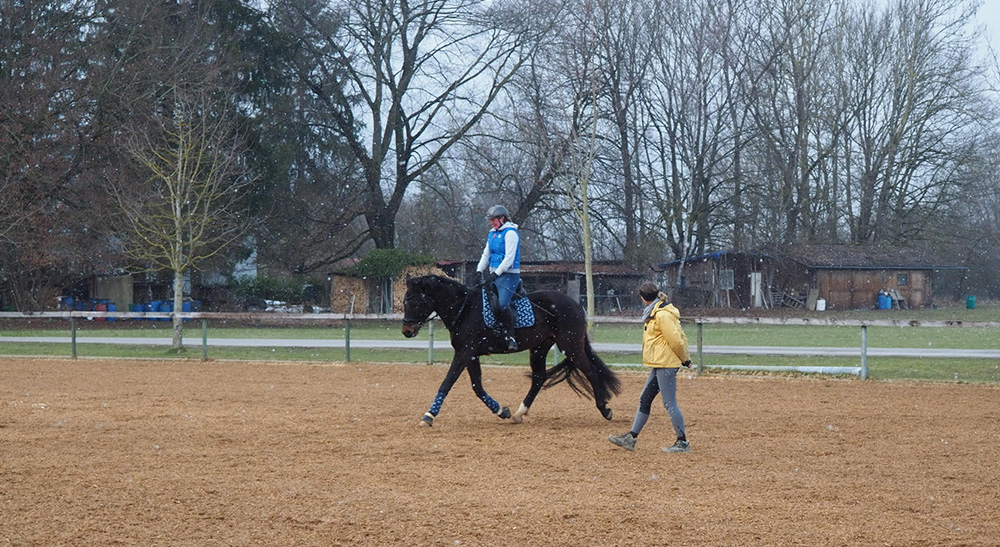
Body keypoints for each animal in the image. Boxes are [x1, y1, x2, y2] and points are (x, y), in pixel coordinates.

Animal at [398, 276, 616, 426]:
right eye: (404, 301)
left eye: (415, 301)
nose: (407, 331)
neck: (464, 308)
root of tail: (576, 305)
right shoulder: (471, 354)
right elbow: (477, 387)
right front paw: (502, 411)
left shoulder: (465, 352)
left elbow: (448, 381)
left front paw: (429, 415)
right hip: (540, 347)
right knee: (539, 377)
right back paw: (520, 412)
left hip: (570, 346)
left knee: (590, 371)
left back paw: (604, 409)